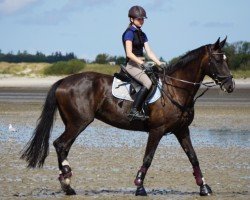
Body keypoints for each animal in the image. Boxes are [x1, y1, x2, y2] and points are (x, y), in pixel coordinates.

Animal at [20, 37, 233, 197]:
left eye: (226, 59)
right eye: (217, 60)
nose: (230, 86)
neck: (176, 89)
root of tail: (64, 80)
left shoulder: (182, 130)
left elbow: (193, 158)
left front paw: (204, 187)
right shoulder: (156, 130)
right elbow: (148, 158)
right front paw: (139, 187)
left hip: (73, 123)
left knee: (63, 146)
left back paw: (67, 183)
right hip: (79, 122)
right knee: (61, 144)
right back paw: (67, 183)